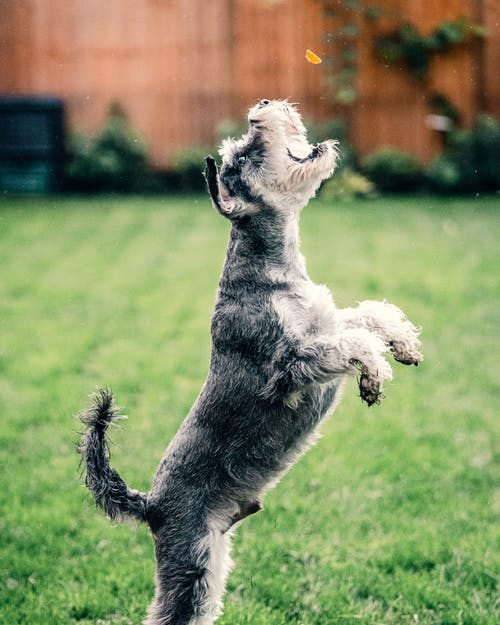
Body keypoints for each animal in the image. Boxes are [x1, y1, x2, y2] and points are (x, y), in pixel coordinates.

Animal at [78, 98, 422, 624]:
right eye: (243, 154)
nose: (261, 106)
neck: (272, 269)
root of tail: (150, 504)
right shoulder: (290, 365)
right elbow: (353, 343)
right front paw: (375, 375)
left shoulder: (325, 321)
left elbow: (366, 315)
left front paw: (403, 344)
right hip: (191, 562)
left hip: (212, 564)